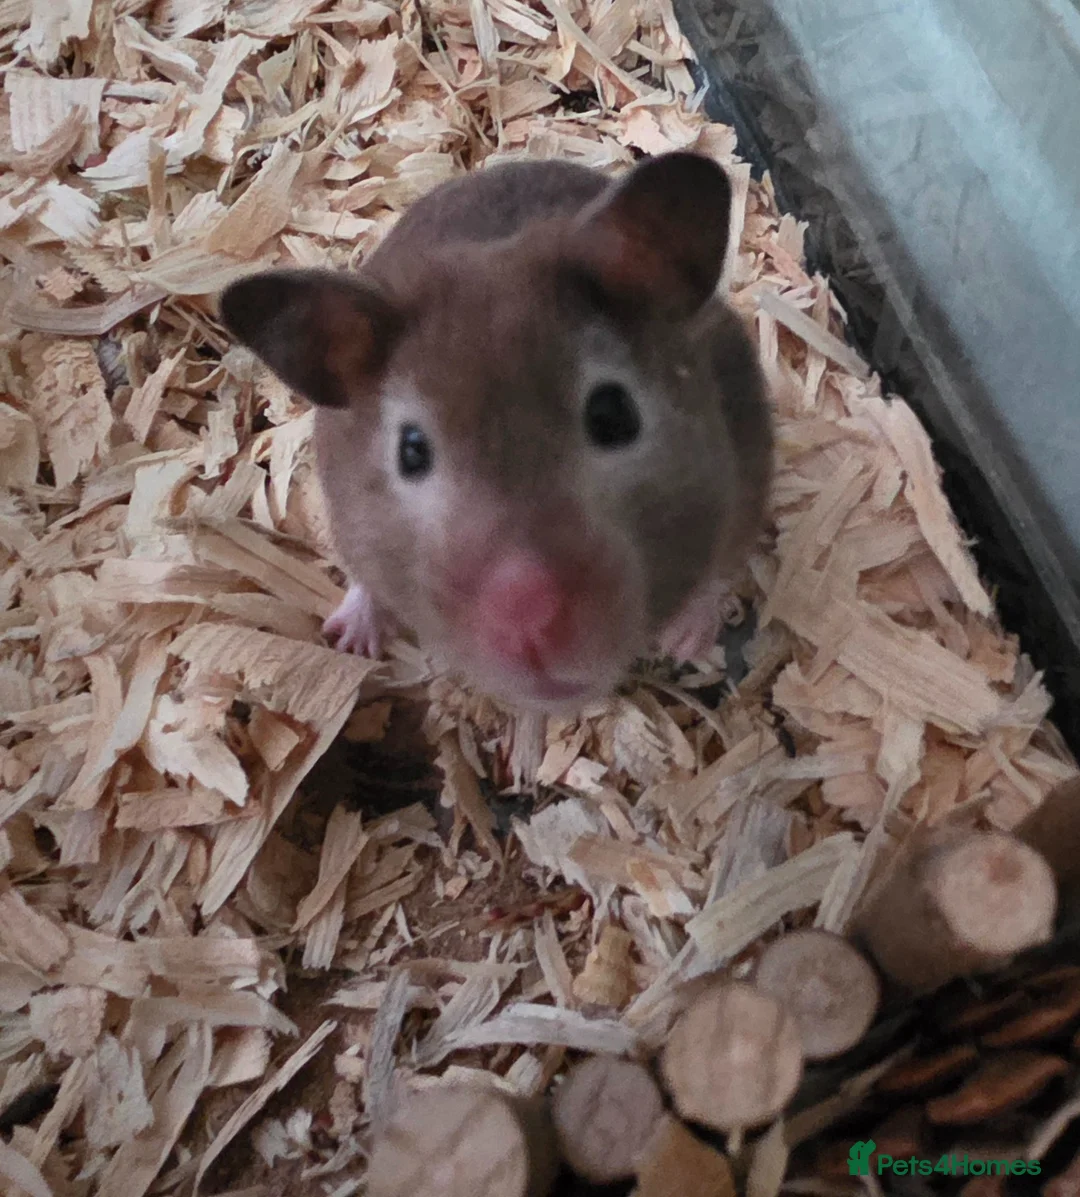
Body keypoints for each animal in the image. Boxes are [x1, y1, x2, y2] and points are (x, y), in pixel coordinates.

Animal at [219, 151, 773, 712]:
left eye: (613, 415)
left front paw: (685, 639)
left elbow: (719, 566)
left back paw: (686, 640)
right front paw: (349, 640)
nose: (532, 626)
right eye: (411, 451)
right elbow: (366, 579)